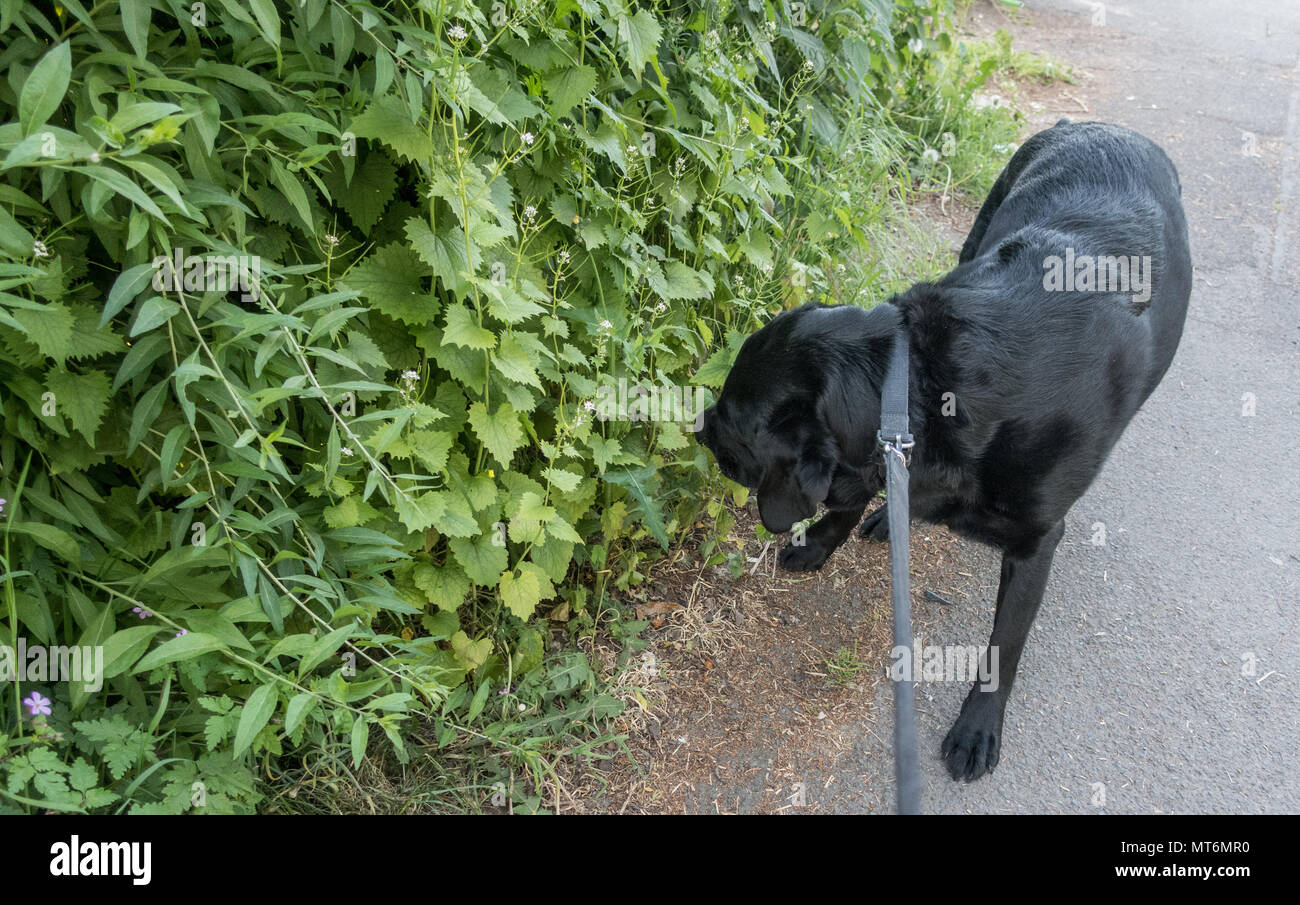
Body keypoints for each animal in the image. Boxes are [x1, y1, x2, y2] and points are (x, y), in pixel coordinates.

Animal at [702, 123, 1190, 780]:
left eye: (732, 421)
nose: (698, 426)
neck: (925, 385)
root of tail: (1107, 128)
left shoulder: (1038, 542)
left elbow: (1004, 646)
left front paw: (978, 727)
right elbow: (852, 494)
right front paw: (828, 538)